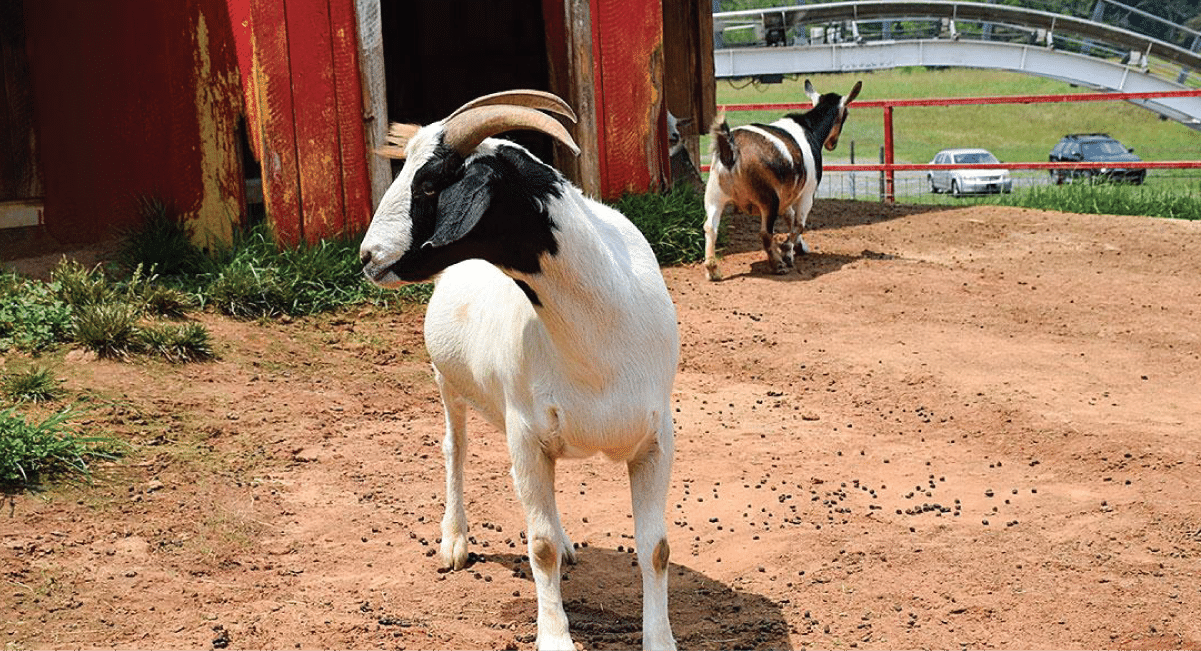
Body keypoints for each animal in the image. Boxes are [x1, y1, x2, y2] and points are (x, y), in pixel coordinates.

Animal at [359, 90, 680, 651]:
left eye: (429, 182)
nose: (366, 256)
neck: (599, 334)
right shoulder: (525, 433)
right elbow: (540, 546)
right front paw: (554, 637)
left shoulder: (656, 439)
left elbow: (655, 547)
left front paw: (659, 639)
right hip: (448, 382)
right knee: (455, 449)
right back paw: (455, 540)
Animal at [702, 79, 862, 281]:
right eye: (845, 114)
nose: (832, 144)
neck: (808, 128)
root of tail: (731, 149)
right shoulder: (807, 192)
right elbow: (799, 223)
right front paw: (787, 252)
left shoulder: (786, 193)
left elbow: (790, 217)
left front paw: (800, 247)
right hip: (768, 198)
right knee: (765, 233)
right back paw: (778, 264)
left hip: (715, 193)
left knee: (710, 227)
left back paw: (712, 269)